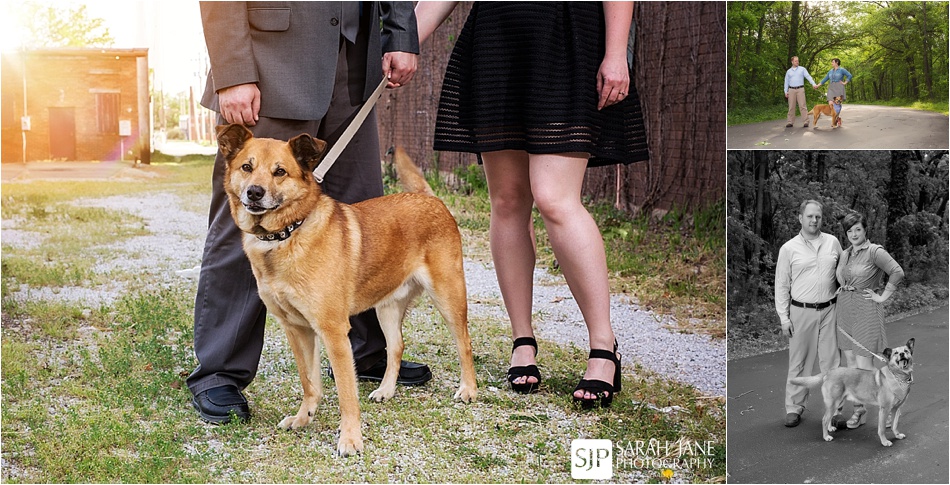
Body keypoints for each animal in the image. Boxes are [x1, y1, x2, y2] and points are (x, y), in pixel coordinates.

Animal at [218, 124, 480, 454]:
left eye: (280, 172)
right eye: (246, 167)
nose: (254, 192)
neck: (287, 234)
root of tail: (429, 198)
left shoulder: (333, 332)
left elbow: (346, 393)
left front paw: (351, 438)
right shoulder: (298, 330)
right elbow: (309, 382)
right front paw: (304, 418)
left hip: (448, 297)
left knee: (464, 344)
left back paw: (468, 389)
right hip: (387, 306)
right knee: (396, 346)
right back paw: (386, 389)